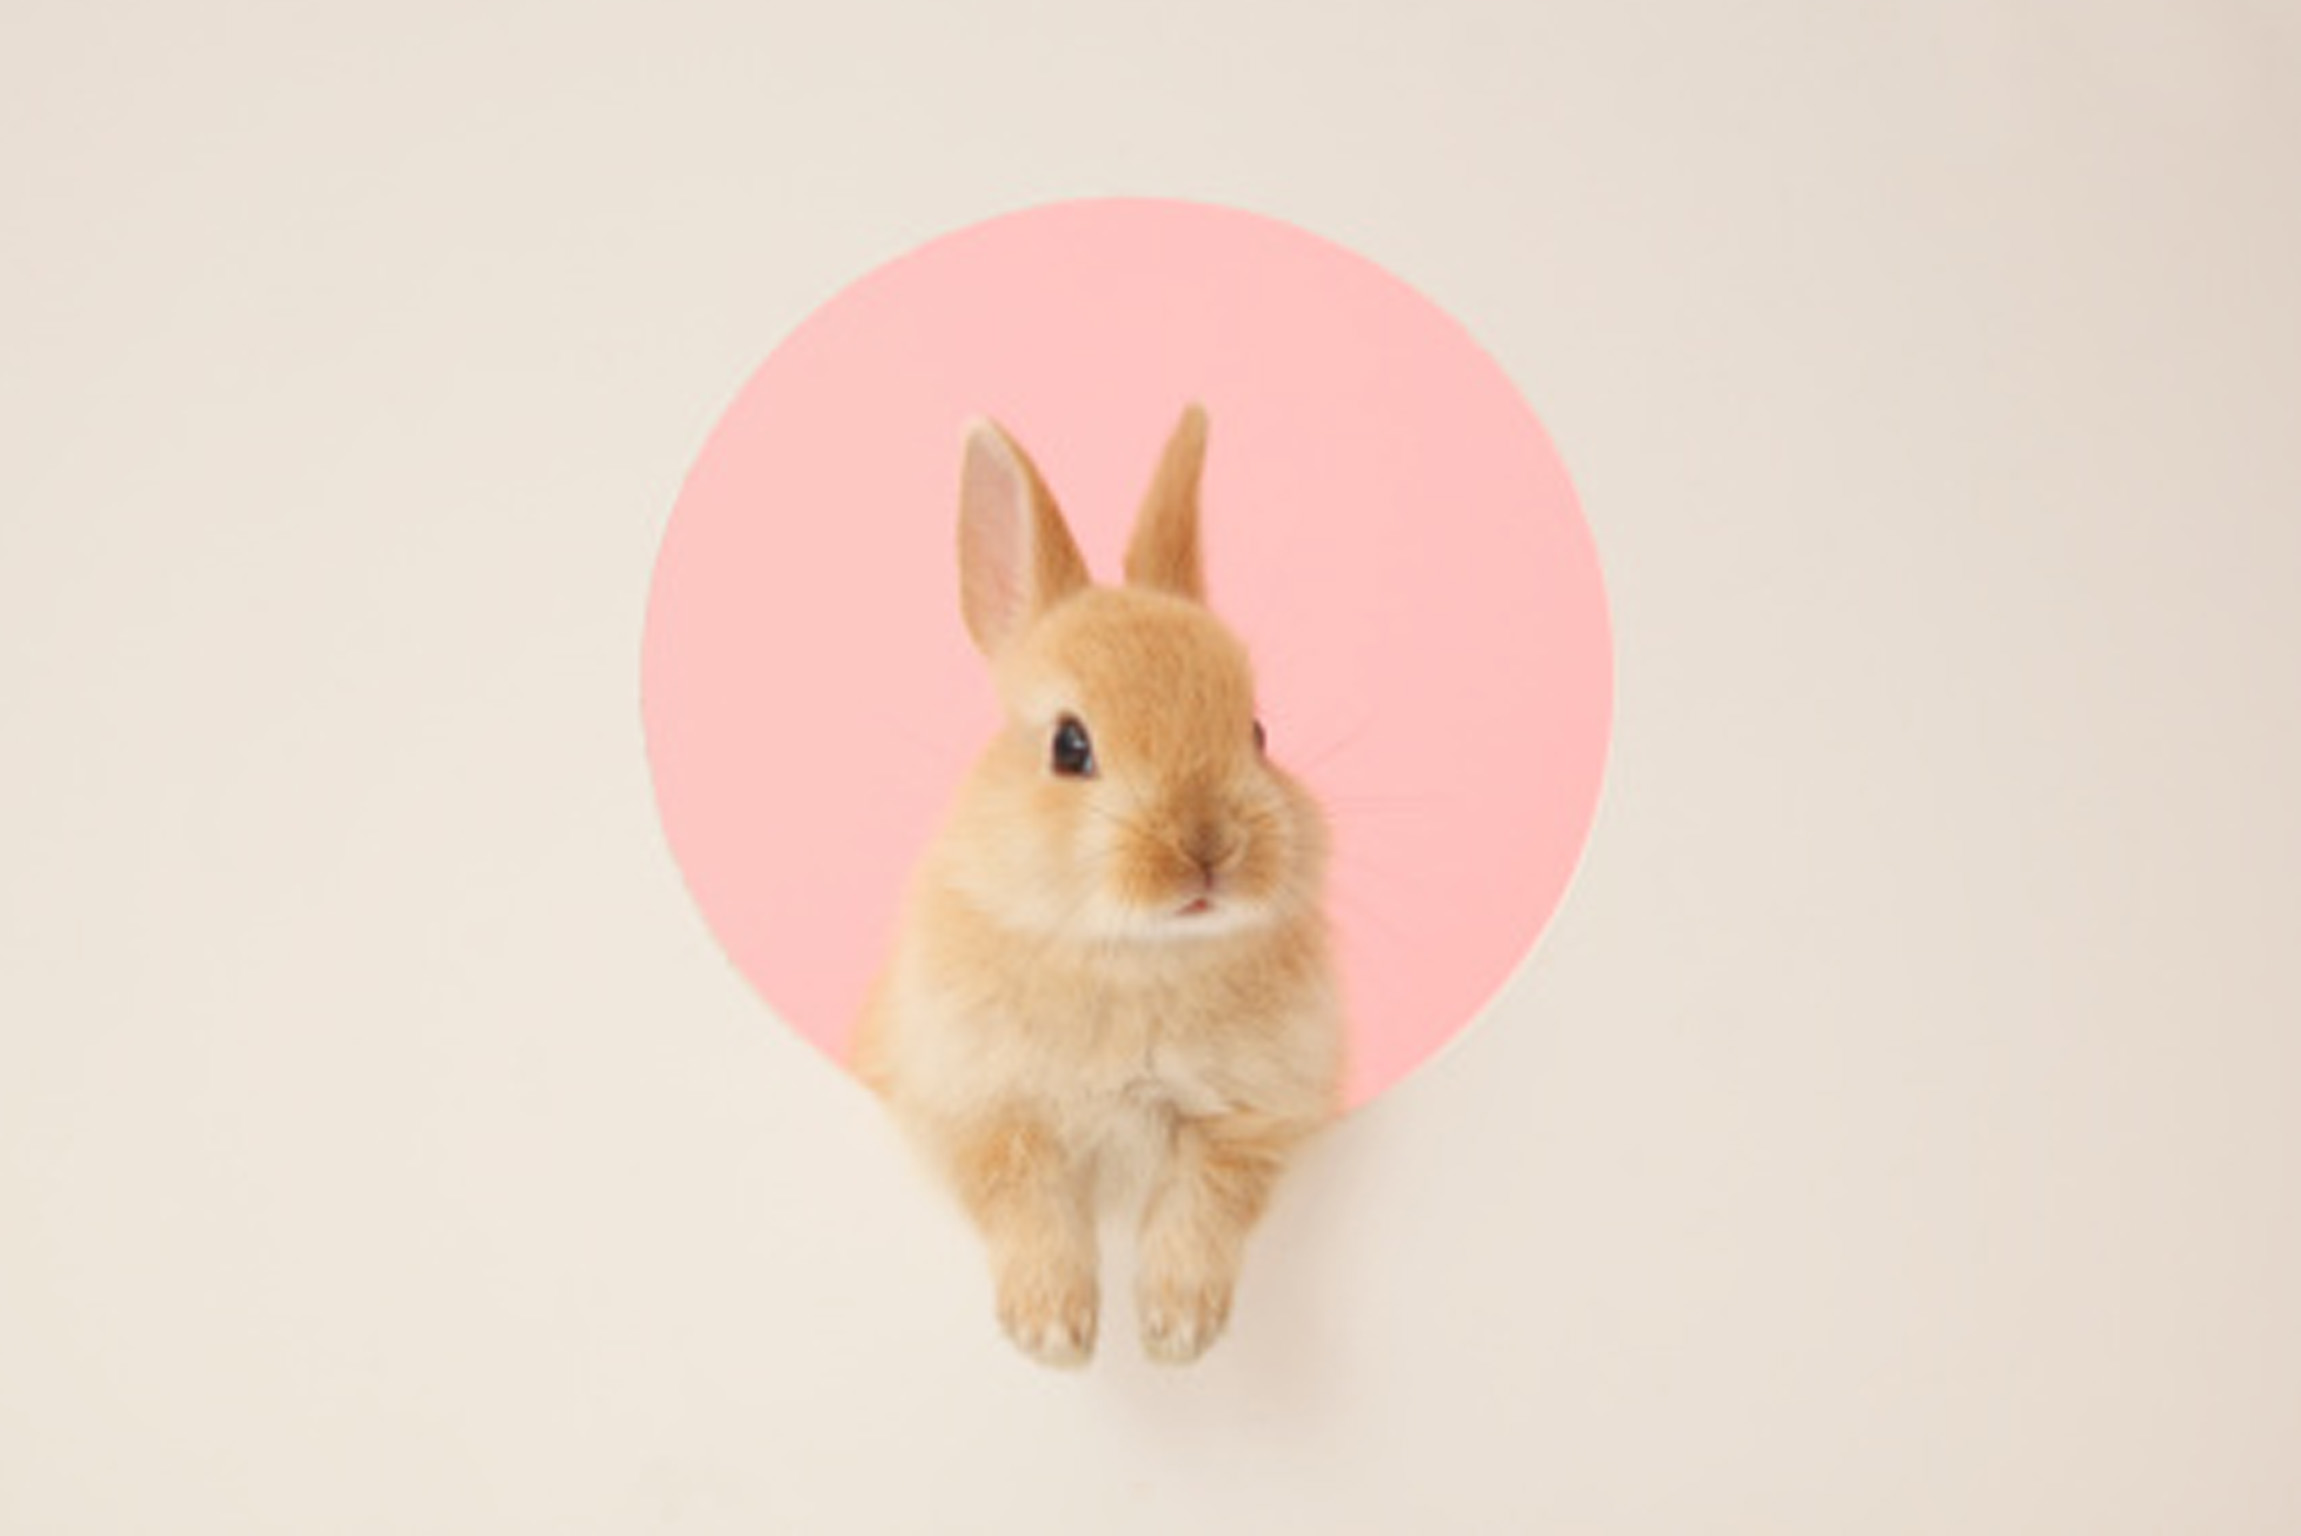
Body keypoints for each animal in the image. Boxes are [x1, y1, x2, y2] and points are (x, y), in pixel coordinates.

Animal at [853, 404, 1345, 1367]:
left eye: (1258, 732)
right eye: (1068, 746)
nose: (1207, 849)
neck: (1134, 954)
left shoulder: (1249, 1119)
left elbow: (1204, 1203)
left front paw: (1176, 1336)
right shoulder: (978, 1109)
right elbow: (1025, 1199)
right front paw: (1054, 1335)